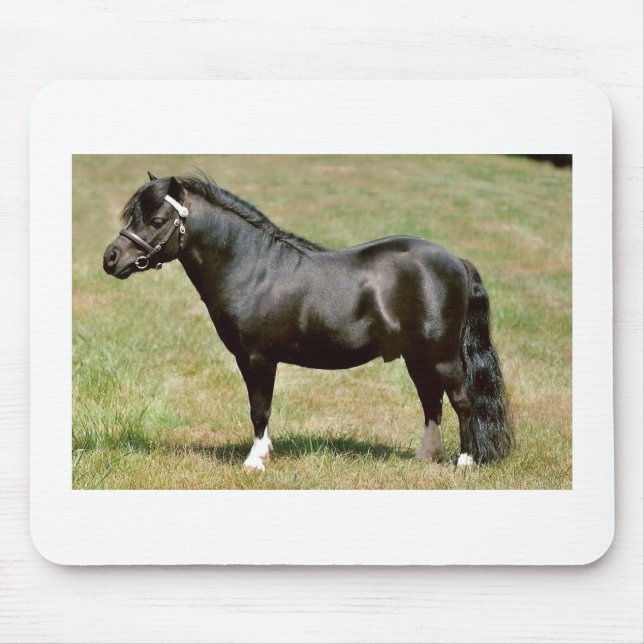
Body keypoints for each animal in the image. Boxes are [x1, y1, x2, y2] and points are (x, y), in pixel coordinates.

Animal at [103, 172, 514, 472]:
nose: (111, 258)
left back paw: (465, 462)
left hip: (442, 355)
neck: (251, 267)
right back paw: (425, 457)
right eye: (133, 216)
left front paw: (255, 462)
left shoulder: (257, 358)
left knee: (462, 400)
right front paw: (264, 453)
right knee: (432, 402)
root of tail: (455, 261)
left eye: (157, 220)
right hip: (418, 357)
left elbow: (259, 408)